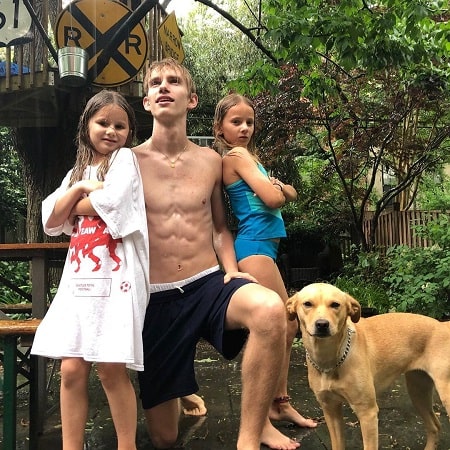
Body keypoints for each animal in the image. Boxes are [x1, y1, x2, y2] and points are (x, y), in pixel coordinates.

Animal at [286, 284, 450, 448]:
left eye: (335, 304)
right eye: (307, 304)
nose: (322, 324)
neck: (331, 359)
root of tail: (443, 325)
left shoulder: (367, 412)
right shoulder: (330, 409)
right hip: (418, 390)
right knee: (434, 425)